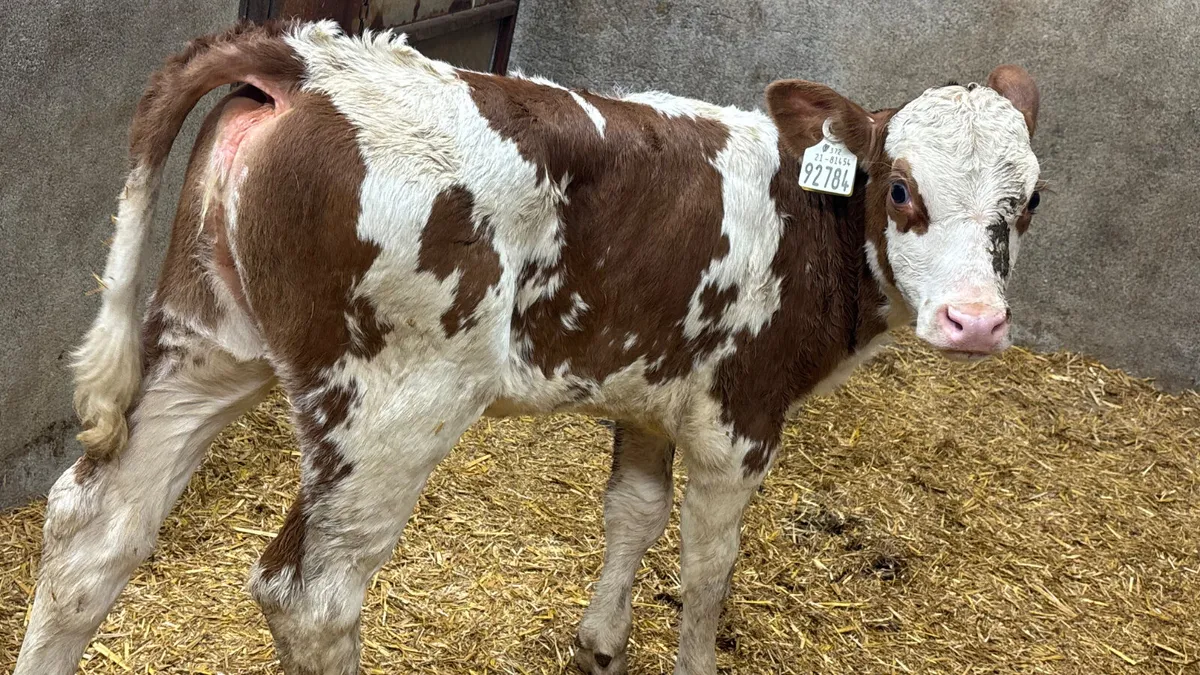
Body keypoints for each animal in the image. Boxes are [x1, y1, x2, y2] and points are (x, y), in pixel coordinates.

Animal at [14, 19, 1042, 675]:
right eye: (901, 188)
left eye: (1027, 200)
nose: (976, 320)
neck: (809, 215)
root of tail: (307, 56)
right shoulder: (738, 414)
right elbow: (708, 569)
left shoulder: (650, 386)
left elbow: (632, 513)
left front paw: (599, 643)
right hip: (392, 403)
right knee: (310, 595)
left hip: (204, 342)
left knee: (91, 532)